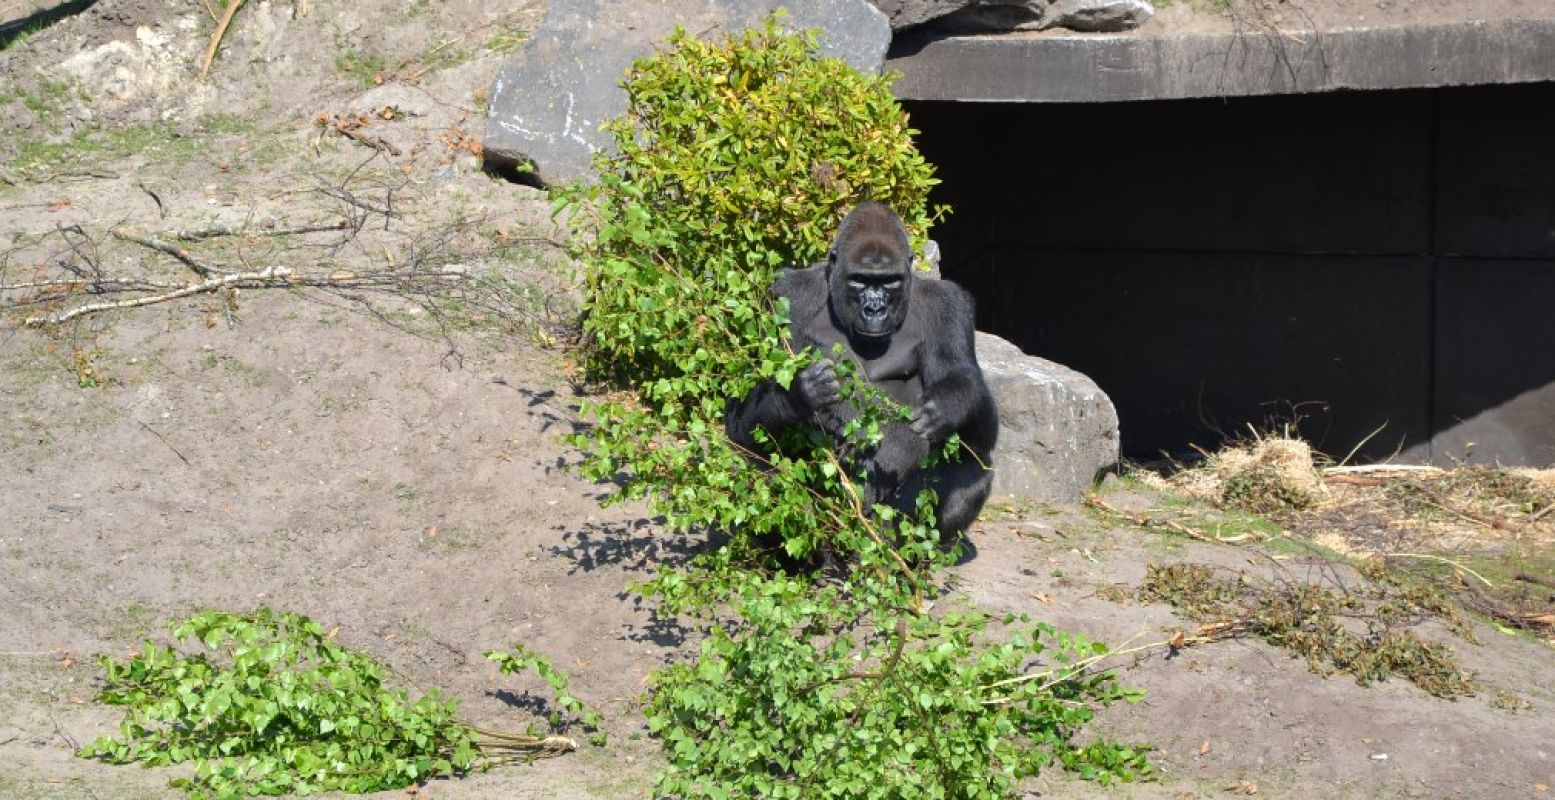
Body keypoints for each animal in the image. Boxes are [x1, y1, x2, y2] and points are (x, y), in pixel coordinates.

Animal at [724, 199, 995, 538]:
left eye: (888, 281)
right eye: (860, 280)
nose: (874, 309)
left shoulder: (949, 305)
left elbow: (977, 418)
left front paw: (946, 406)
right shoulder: (783, 294)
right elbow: (741, 416)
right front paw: (802, 394)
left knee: (974, 466)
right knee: (746, 457)